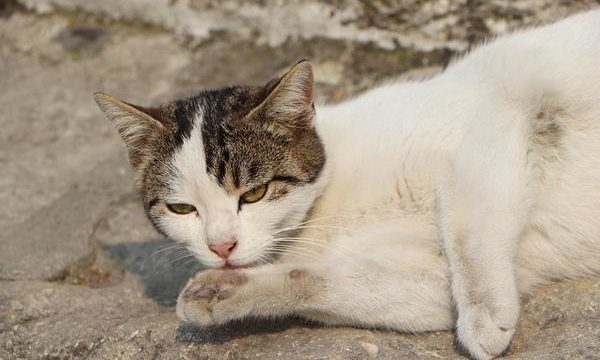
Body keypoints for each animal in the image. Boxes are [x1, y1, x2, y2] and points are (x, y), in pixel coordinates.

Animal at [92, 9, 600, 360]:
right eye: (182, 209)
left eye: (253, 193)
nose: (222, 247)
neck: (324, 213)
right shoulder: (428, 282)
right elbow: (320, 283)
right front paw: (225, 292)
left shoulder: (488, 121)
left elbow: (467, 231)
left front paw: (484, 316)